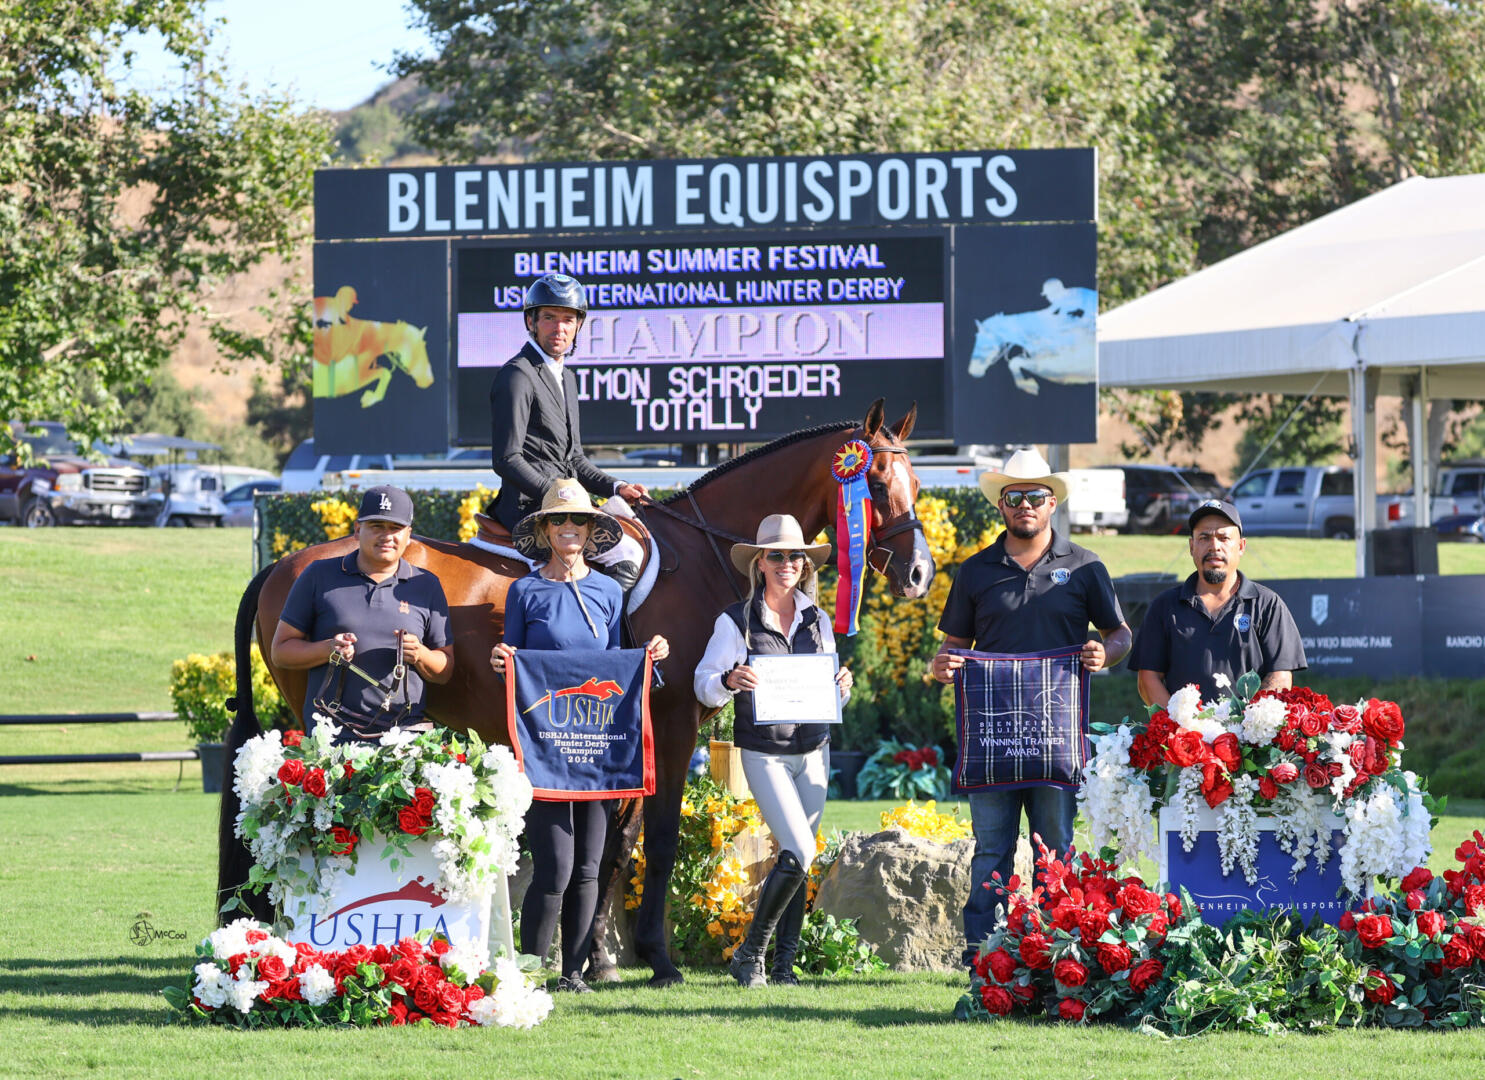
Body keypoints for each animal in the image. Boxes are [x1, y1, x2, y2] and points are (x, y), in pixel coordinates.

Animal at [215, 398, 932, 986]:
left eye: (916, 484)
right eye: (873, 482)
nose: (920, 574)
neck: (702, 560)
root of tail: (285, 562)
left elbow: (615, 844)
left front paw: (597, 959)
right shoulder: (673, 725)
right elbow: (659, 839)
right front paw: (655, 959)